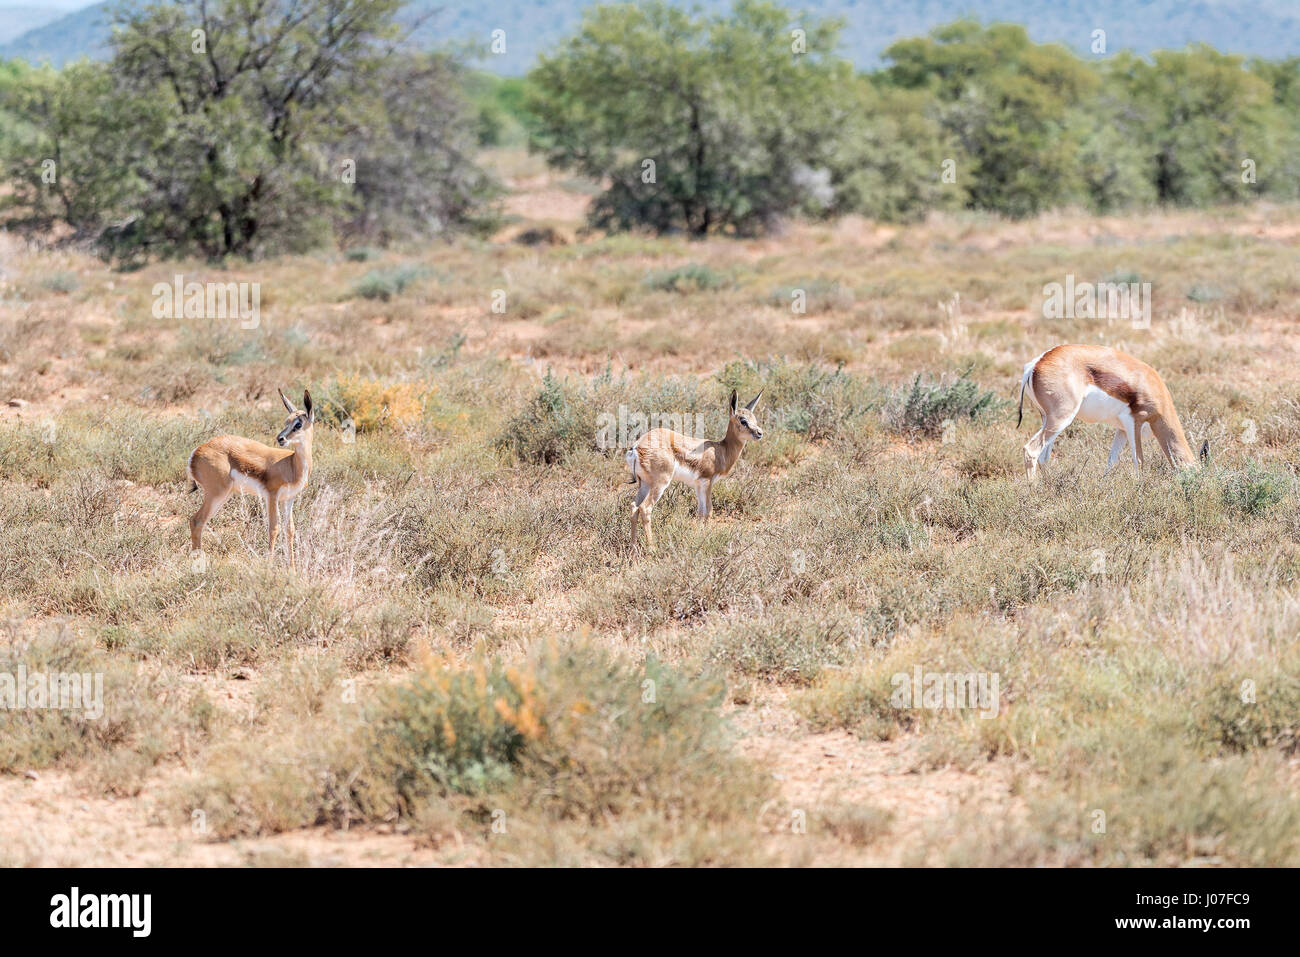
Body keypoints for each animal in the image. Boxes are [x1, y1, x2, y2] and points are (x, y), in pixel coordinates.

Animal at [188, 390, 314, 566]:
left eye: (298, 424)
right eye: (286, 421)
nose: (280, 439)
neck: (291, 465)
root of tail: (197, 451)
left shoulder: (288, 499)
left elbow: (289, 530)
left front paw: (292, 569)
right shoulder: (271, 496)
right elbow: (273, 528)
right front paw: (269, 566)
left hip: (224, 495)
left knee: (199, 522)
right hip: (216, 494)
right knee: (196, 521)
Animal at [621, 390, 759, 548]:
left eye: (754, 419)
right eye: (743, 420)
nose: (759, 433)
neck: (721, 450)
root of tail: (636, 446)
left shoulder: (698, 485)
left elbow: (700, 512)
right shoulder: (708, 482)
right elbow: (709, 511)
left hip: (644, 483)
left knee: (634, 507)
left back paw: (633, 548)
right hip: (660, 484)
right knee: (645, 508)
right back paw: (652, 548)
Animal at [1013, 343, 1206, 478]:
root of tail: (1036, 364)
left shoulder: (1121, 430)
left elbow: (1111, 462)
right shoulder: (1133, 422)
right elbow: (1139, 461)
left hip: (1048, 419)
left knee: (1044, 456)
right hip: (1061, 419)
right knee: (1032, 450)